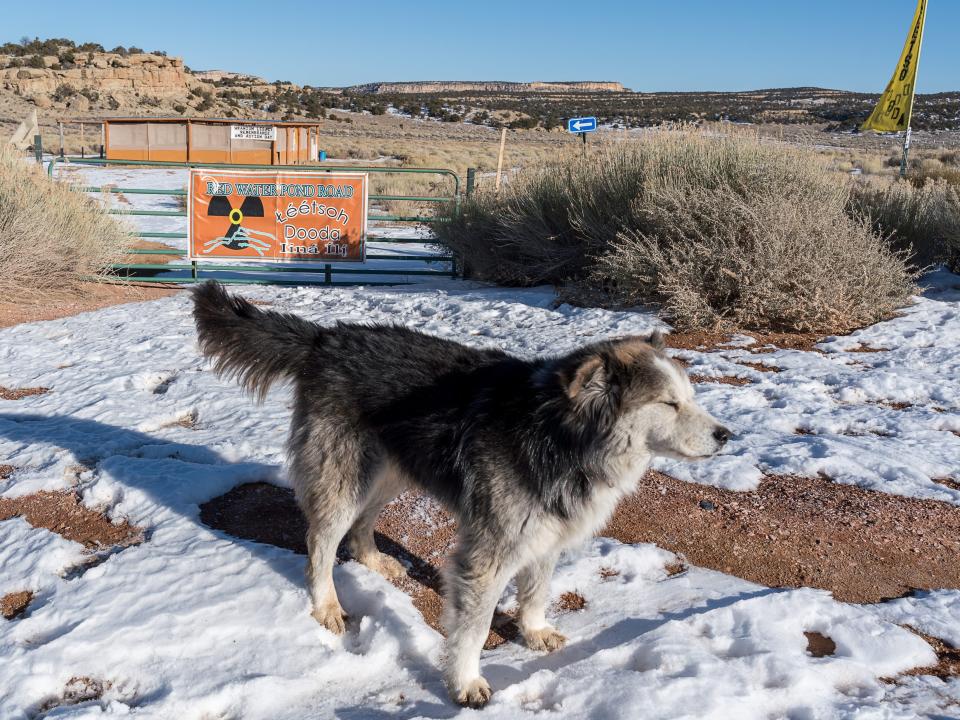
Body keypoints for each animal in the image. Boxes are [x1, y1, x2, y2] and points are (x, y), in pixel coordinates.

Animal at [191, 282, 732, 708]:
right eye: (668, 403)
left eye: (691, 396)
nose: (726, 435)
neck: (560, 434)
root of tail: (327, 337)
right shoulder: (489, 551)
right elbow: (473, 626)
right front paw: (466, 681)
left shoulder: (545, 534)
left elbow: (536, 591)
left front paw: (533, 630)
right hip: (344, 476)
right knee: (320, 544)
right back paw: (325, 604)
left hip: (389, 471)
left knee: (362, 525)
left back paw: (374, 560)